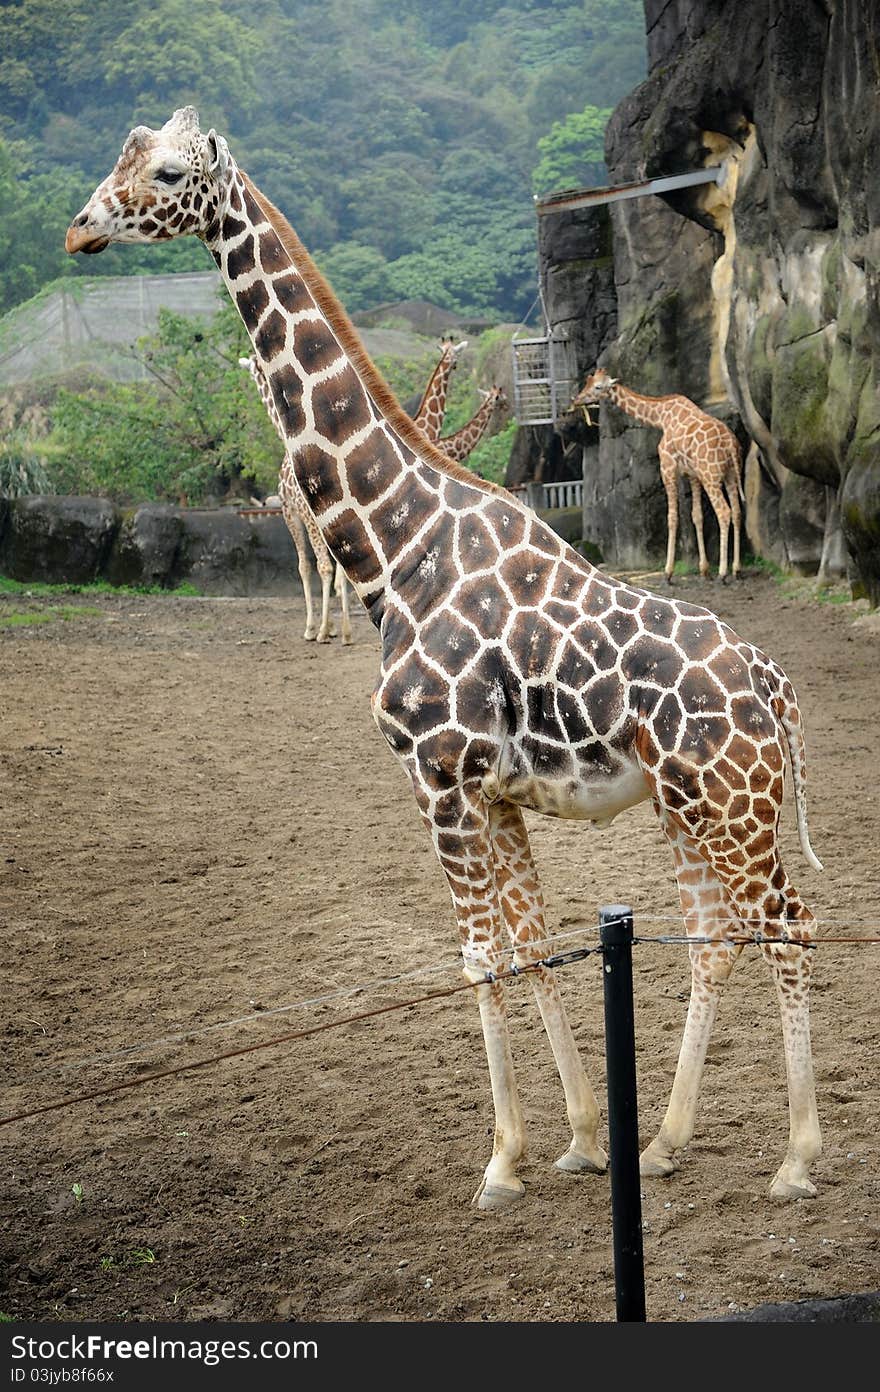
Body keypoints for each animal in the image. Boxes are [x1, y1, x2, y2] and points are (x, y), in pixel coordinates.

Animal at [240, 353, 353, 645]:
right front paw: (336, 627)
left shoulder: (290, 512)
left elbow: (304, 566)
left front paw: (315, 627)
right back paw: (346, 631)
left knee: (324, 566)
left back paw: (321, 631)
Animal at [573, 370, 746, 581]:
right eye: (588, 382)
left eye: (598, 387)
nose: (577, 399)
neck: (661, 417)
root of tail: (731, 445)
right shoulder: (693, 474)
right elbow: (696, 515)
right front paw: (704, 569)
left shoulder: (667, 466)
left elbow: (672, 517)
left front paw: (668, 572)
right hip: (730, 474)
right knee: (737, 512)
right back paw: (736, 569)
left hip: (711, 475)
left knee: (724, 511)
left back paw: (722, 573)